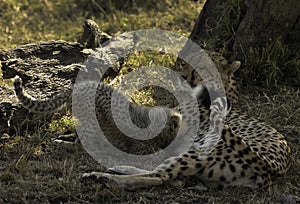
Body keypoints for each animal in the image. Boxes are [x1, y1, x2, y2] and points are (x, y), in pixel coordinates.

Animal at [13, 51, 290, 190]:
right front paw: (67, 138)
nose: (183, 67)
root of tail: (273, 168)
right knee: (161, 172)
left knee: (160, 175)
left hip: (196, 149)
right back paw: (114, 169)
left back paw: (104, 177)